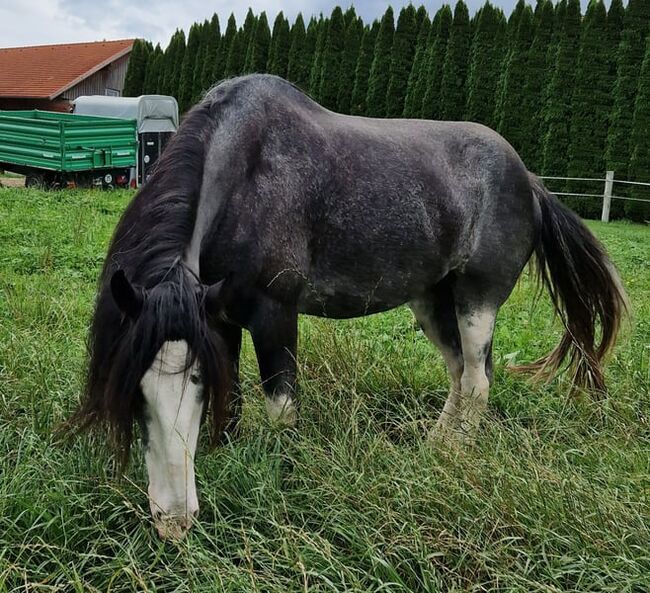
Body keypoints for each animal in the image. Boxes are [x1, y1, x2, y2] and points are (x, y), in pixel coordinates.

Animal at [71, 73, 624, 536]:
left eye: (194, 382)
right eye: (135, 391)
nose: (174, 521)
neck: (245, 175)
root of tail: (529, 180)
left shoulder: (274, 314)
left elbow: (281, 410)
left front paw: (283, 477)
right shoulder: (218, 318)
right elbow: (232, 410)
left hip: (477, 300)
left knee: (478, 381)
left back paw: (452, 457)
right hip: (432, 302)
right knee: (462, 374)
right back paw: (432, 449)